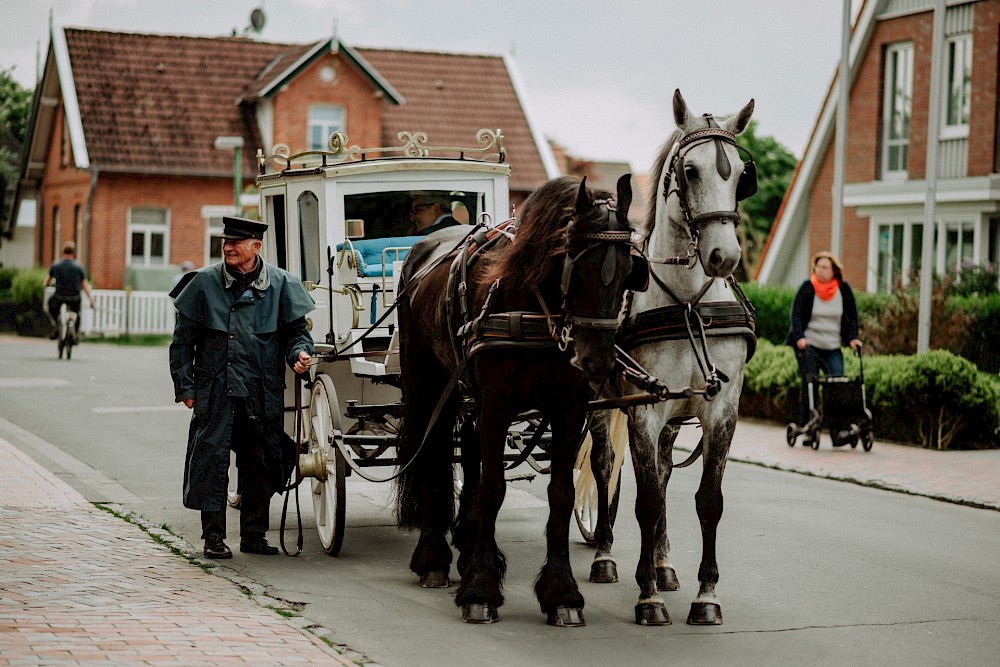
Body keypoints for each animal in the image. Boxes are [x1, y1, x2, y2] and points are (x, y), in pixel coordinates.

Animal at [394, 175, 644, 624]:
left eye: (627, 272)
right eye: (575, 265)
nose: (597, 361)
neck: (535, 311)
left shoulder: (568, 410)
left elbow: (560, 493)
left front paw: (561, 593)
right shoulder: (496, 405)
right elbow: (493, 488)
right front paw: (481, 589)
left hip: (465, 393)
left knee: (468, 452)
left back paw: (467, 542)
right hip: (427, 382)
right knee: (430, 450)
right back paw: (434, 558)